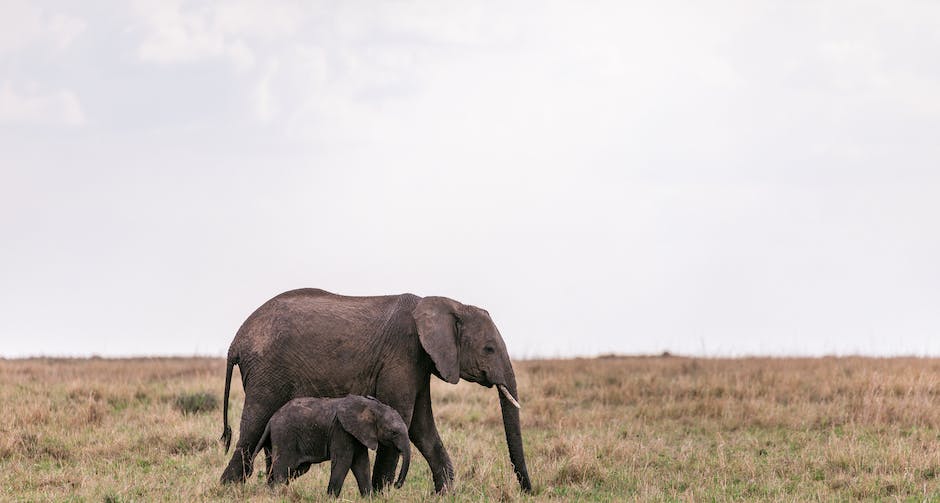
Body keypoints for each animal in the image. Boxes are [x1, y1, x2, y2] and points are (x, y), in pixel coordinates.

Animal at [252, 396, 410, 498]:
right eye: (394, 432)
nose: (396, 485)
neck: (372, 406)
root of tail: (271, 420)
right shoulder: (341, 431)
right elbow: (344, 461)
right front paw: (331, 498)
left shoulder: (357, 433)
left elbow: (362, 463)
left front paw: (369, 498)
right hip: (285, 436)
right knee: (284, 469)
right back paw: (277, 495)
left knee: (293, 470)